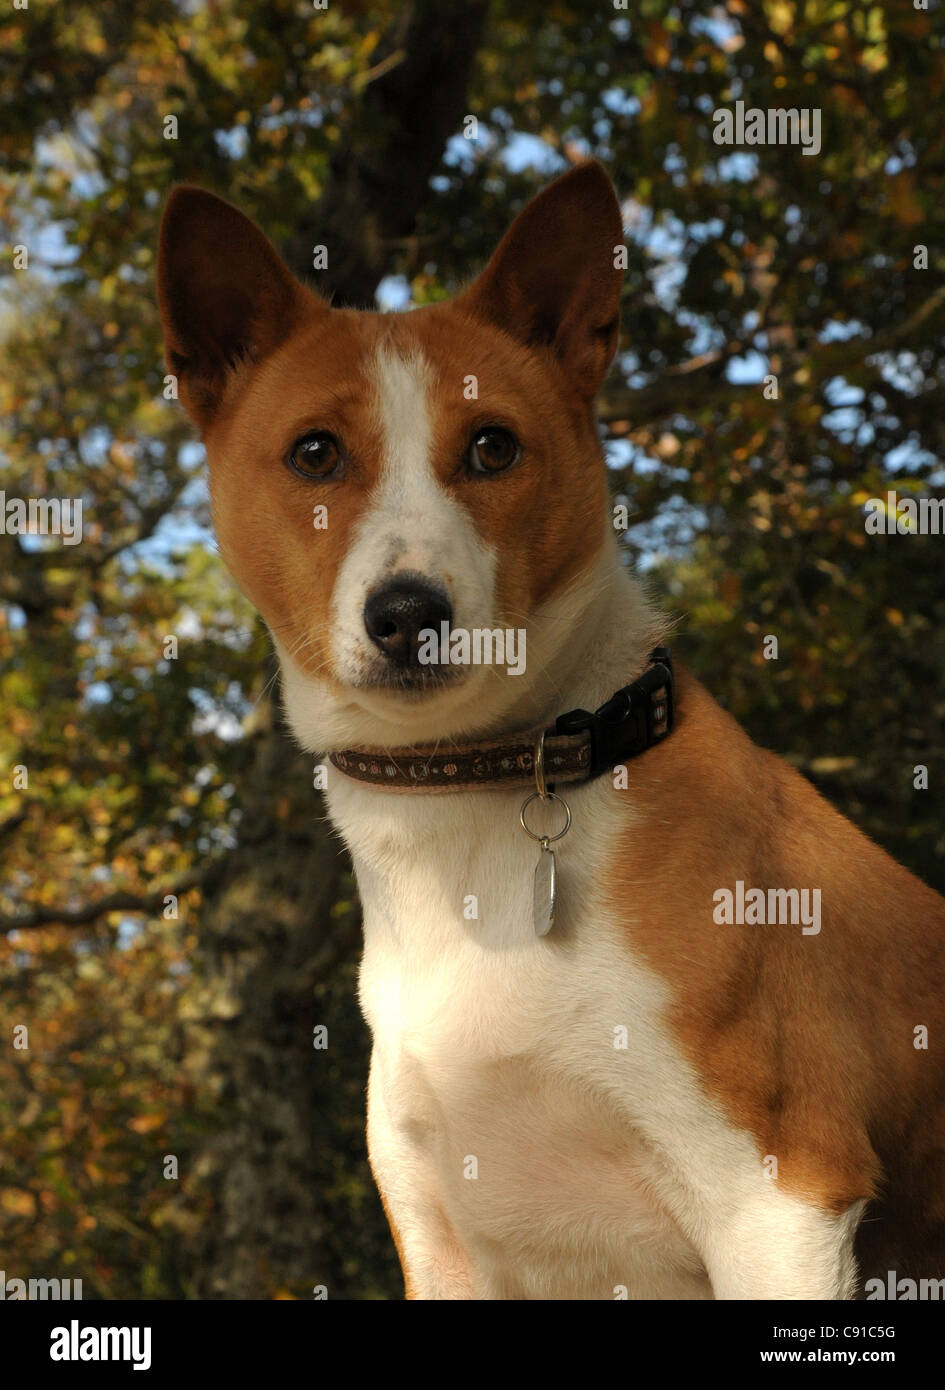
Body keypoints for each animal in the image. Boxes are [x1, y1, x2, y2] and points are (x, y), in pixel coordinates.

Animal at [158, 162, 945, 1301]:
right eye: (314, 453)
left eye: (493, 446)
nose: (408, 612)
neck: (468, 814)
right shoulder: (446, 1244)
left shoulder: (779, 1201)